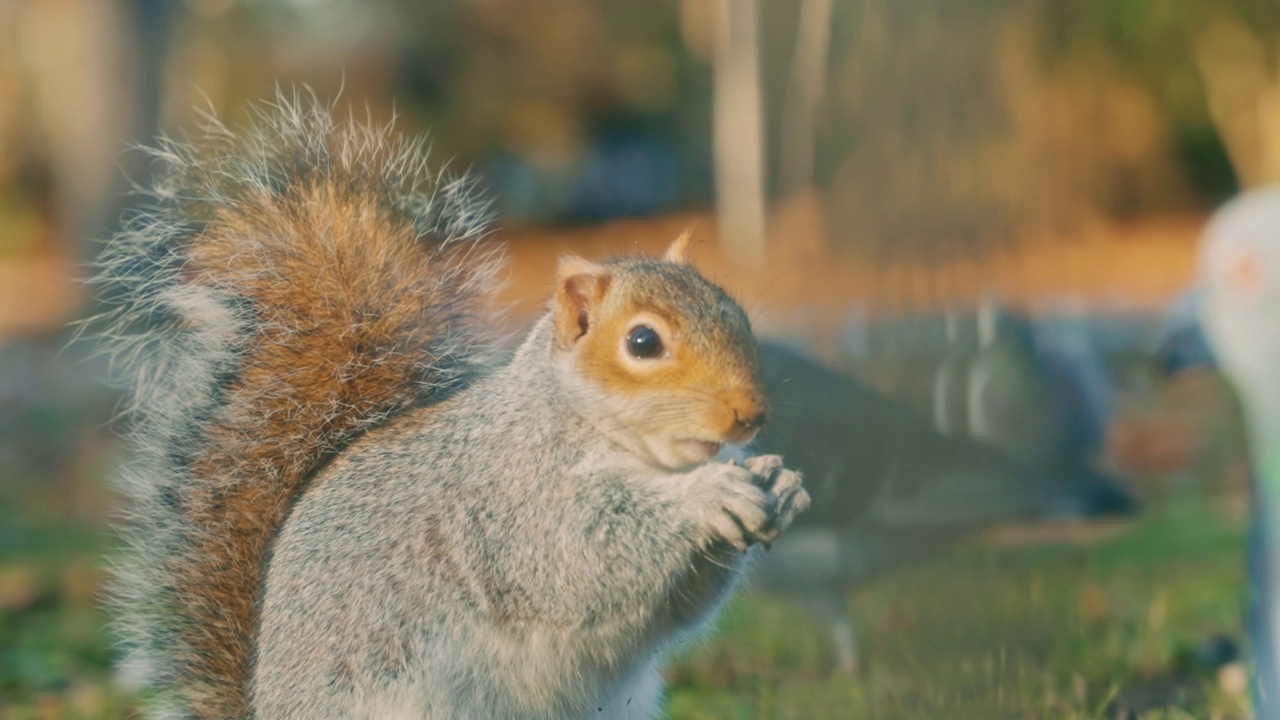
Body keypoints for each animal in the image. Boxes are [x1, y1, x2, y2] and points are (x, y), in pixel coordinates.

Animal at [92, 90, 808, 717]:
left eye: (735, 310)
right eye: (642, 342)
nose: (751, 414)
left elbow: (681, 604)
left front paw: (778, 483)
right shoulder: (511, 498)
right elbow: (581, 552)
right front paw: (710, 494)